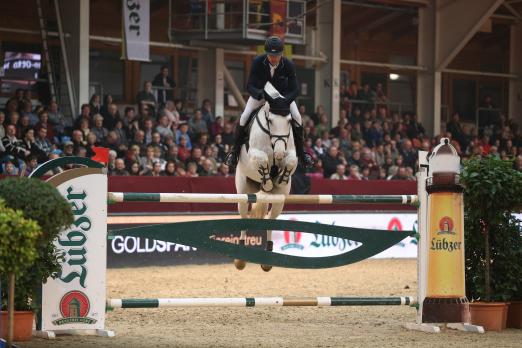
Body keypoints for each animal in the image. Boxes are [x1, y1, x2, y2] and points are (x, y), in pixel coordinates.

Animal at [233, 85, 296, 270]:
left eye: (289, 121)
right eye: (270, 120)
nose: (279, 154)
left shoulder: (291, 153)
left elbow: (292, 160)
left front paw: (281, 178)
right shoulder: (255, 154)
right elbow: (262, 160)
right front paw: (268, 182)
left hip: (279, 201)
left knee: (271, 219)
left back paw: (267, 258)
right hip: (243, 194)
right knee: (244, 217)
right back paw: (240, 259)